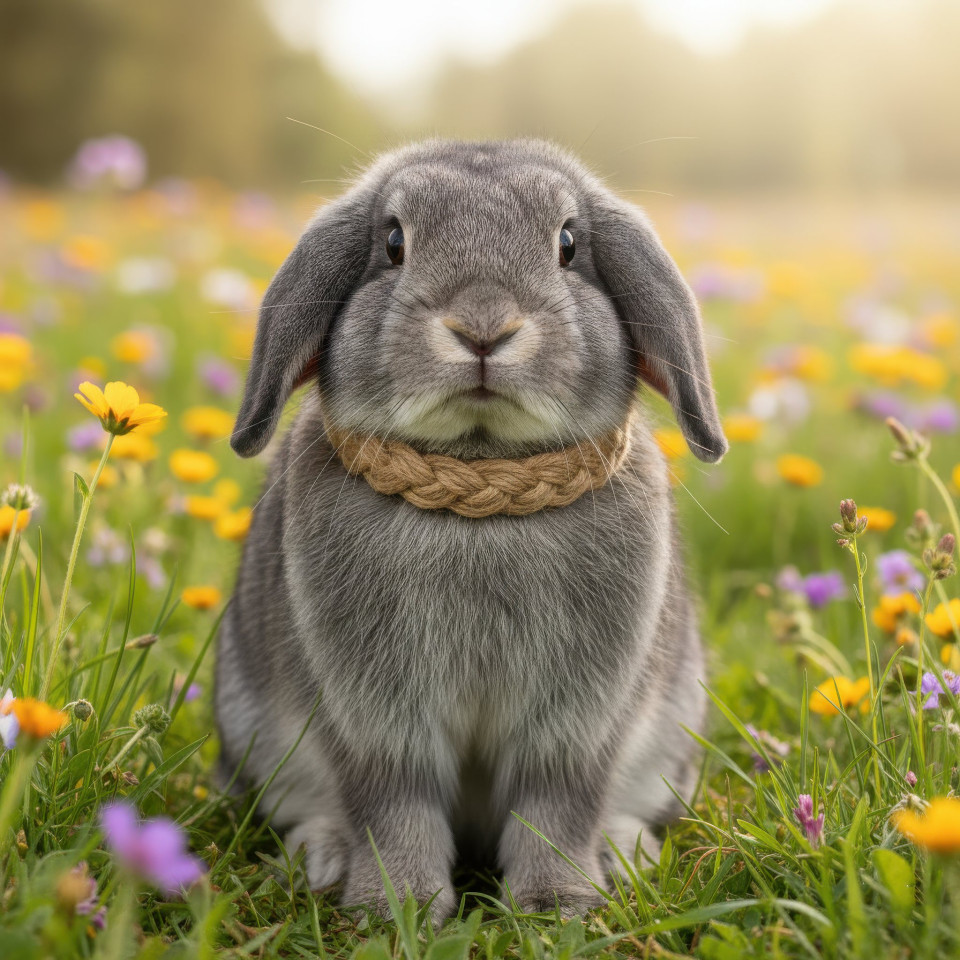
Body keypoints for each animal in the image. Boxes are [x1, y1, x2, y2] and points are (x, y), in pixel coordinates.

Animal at [215, 139, 727, 922]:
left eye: (568, 244)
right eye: (394, 244)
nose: (484, 328)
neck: (481, 490)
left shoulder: (573, 729)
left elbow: (557, 807)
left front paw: (554, 905)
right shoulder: (380, 724)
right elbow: (394, 805)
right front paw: (396, 908)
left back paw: (624, 855)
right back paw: (321, 858)